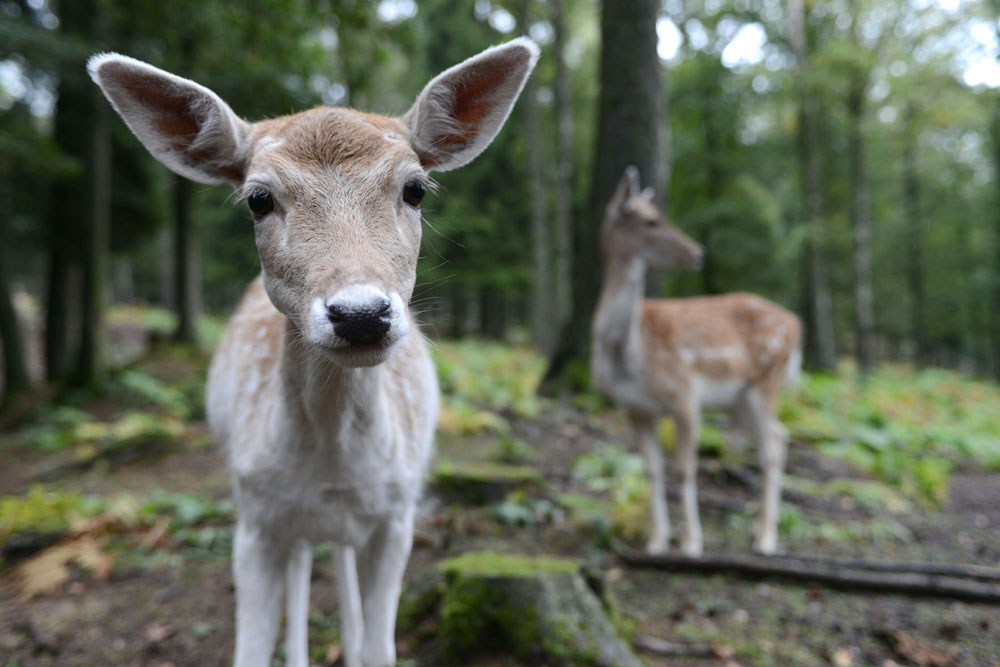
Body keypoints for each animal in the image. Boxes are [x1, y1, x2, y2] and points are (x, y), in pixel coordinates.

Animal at [89, 37, 540, 667]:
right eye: (258, 198)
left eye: (415, 188)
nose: (360, 314)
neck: (332, 463)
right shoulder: (254, 518)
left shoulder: (398, 517)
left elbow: (380, 647)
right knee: (306, 562)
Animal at [588, 167, 800, 560]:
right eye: (652, 221)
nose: (698, 252)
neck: (630, 355)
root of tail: (795, 324)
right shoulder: (636, 408)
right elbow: (653, 471)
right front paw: (656, 542)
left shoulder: (683, 393)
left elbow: (685, 469)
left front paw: (691, 544)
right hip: (737, 401)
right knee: (780, 434)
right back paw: (759, 531)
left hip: (767, 379)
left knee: (772, 447)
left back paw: (766, 539)